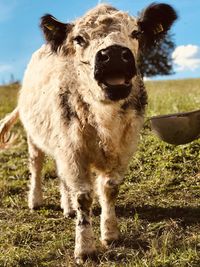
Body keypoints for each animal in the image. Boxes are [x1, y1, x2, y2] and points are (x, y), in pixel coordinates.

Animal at [0, 3, 178, 264]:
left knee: (61, 175)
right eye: (79, 39)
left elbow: (110, 189)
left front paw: (110, 234)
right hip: (35, 136)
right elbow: (84, 196)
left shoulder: (122, 149)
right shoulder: (73, 152)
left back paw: (67, 207)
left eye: (136, 33)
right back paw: (36, 200)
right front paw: (84, 249)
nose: (114, 54)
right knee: (37, 165)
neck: (104, 119)